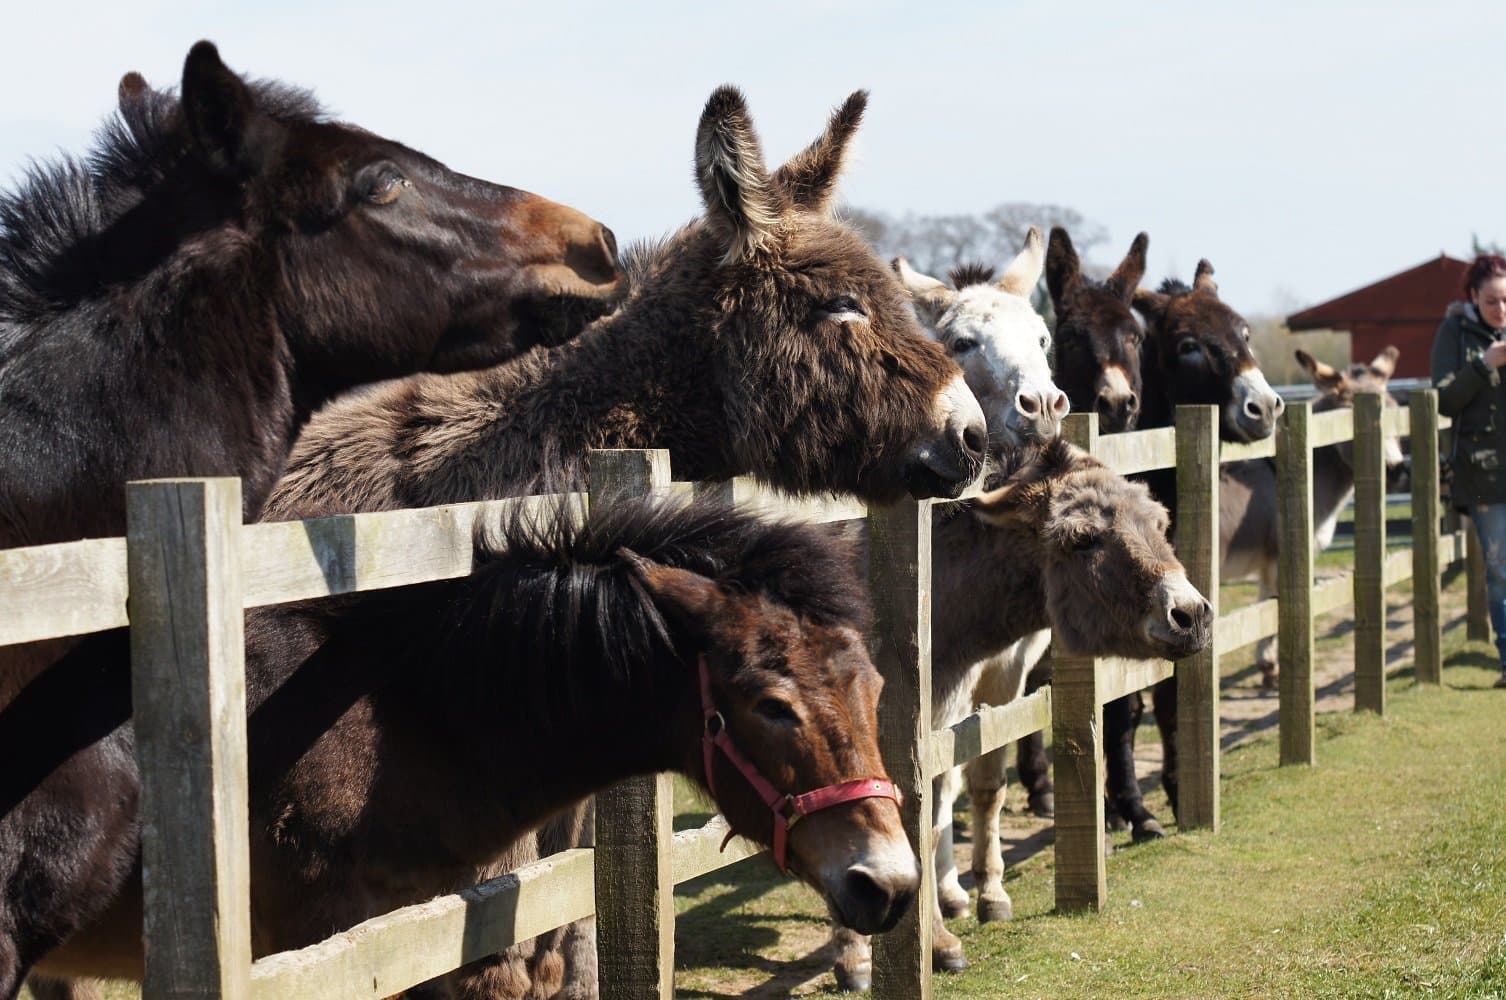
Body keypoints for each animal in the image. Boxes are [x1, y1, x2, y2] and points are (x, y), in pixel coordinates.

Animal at [826, 437, 1213, 990]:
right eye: (1083, 539)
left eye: (1161, 523)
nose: (1191, 615)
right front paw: (856, 956)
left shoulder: (937, 716)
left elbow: (931, 816)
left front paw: (938, 939)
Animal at [1221, 347, 1404, 688]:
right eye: (1351, 414)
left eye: (1396, 410)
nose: (1397, 471)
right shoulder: (1280, 558)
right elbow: (1273, 609)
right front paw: (1271, 668)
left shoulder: (1269, 563)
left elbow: (1266, 605)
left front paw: (1266, 666)